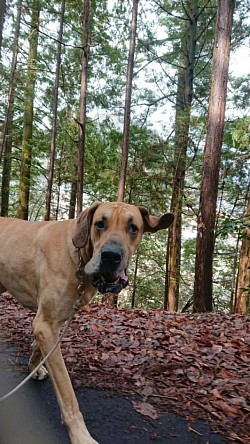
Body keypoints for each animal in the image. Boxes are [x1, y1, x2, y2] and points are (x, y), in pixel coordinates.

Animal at [0, 202, 174, 444]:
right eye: (100, 224)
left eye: (133, 228)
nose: (110, 257)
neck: (80, 257)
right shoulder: (46, 325)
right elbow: (67, 392)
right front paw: (80, 435)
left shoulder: (51, 323)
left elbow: (37, 346)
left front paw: (35, 367)